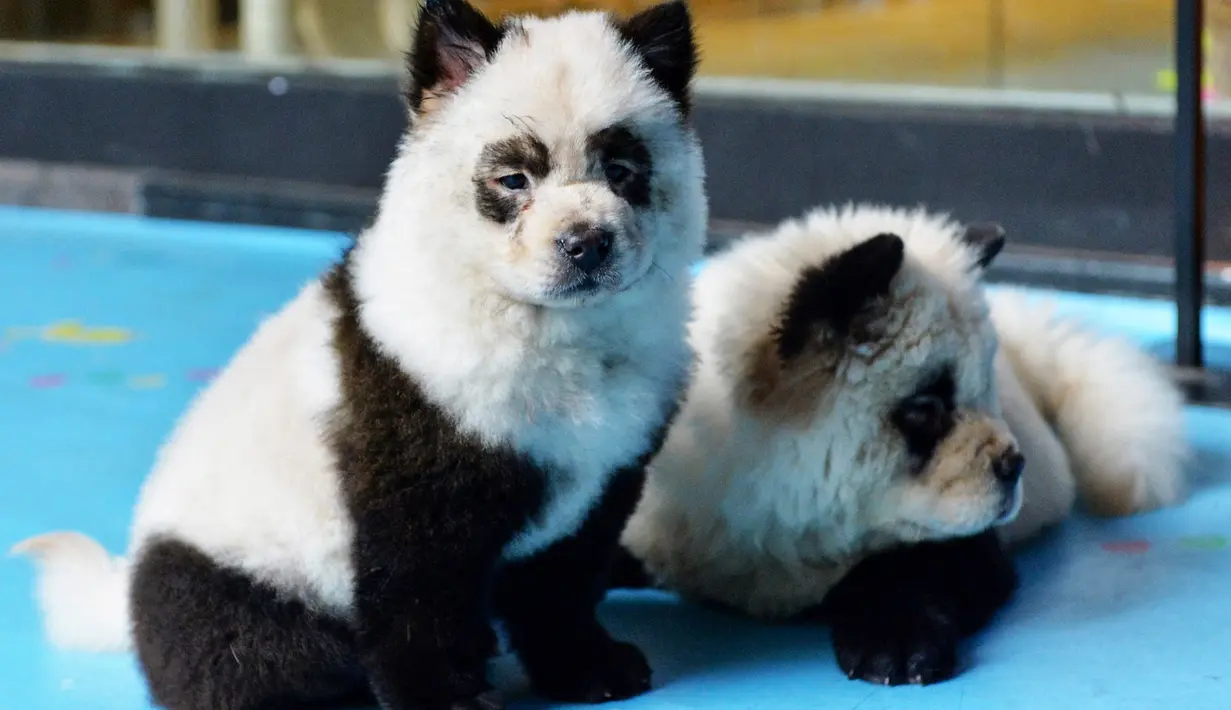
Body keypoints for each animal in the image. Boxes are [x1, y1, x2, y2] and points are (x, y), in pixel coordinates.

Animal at [13, 2, 707, 709]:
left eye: (621, 170)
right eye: (514, 180)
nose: (586, 243)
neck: (552, 325)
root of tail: (127, 591)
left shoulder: (609, 463)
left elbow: (563, 577)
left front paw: (588, 665)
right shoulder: (416, 435)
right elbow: (418, 592)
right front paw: (444, 697)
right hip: (237, 580)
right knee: (249, 660)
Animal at [616, 203, 1188, 687]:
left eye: (985, 391)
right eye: (925, 408)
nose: (1013, 464)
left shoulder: (961, 538)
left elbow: (921, 565)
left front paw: (895, 646)